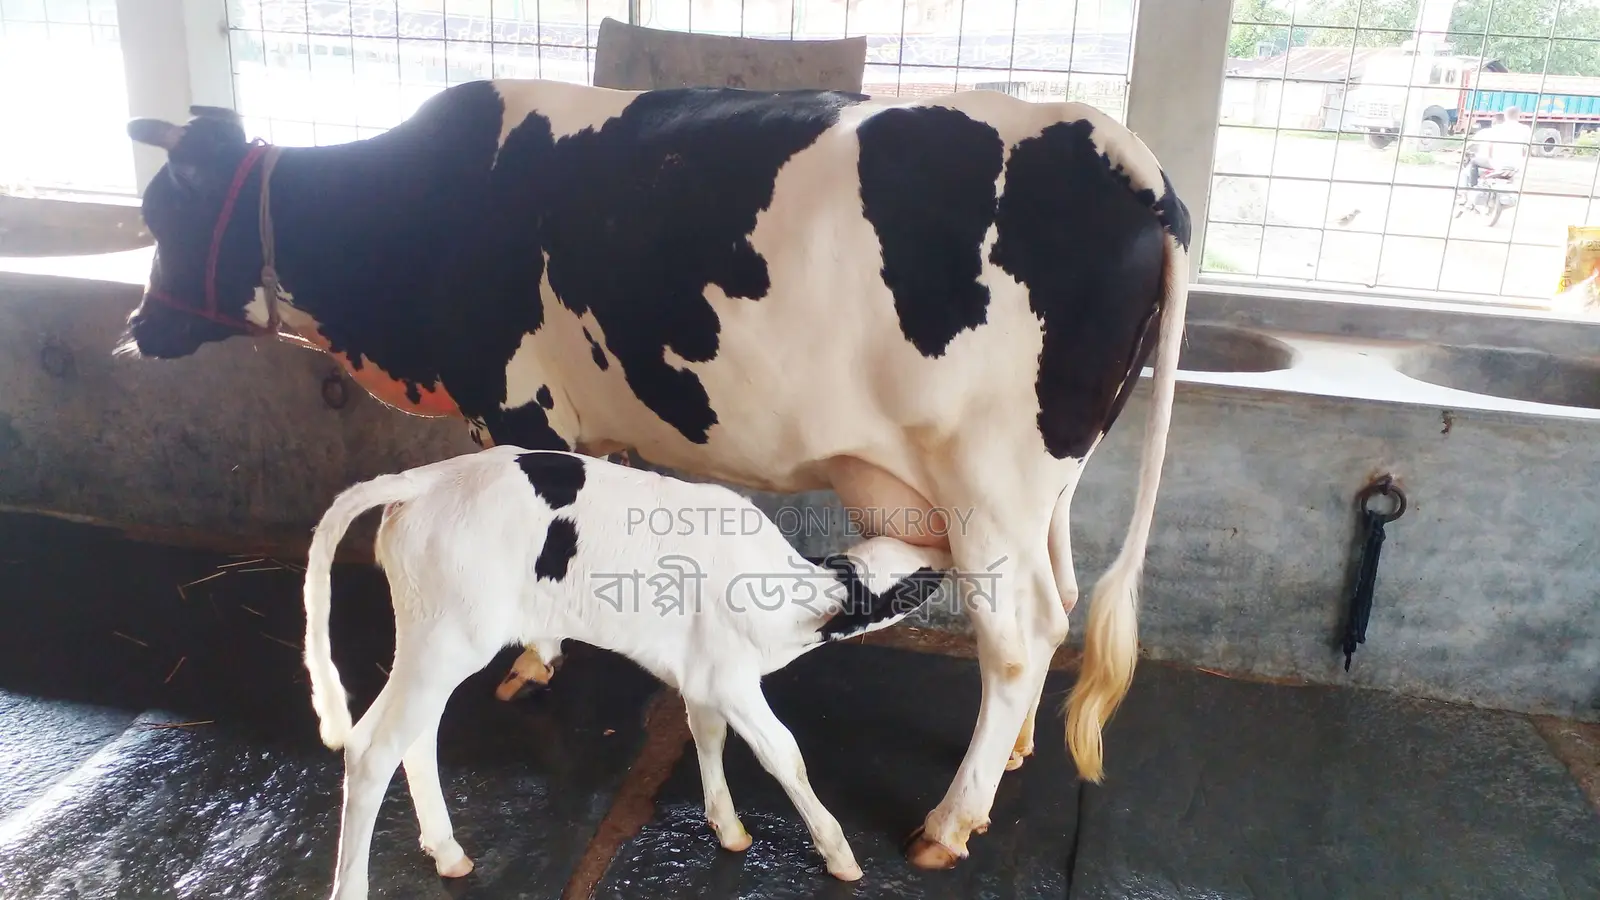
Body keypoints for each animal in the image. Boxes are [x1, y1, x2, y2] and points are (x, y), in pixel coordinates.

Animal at [302, 444, 954, 897]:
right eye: (912, 584)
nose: (947, 555)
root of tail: (426, 478)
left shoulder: (702, 674)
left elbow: (707, 737)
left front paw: (729, 828)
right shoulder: (732, 680)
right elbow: (784, 753)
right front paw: (839, 854)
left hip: (434, 644)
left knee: (412, 738)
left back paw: (448, 851)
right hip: (444, 643)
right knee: (371, 750)